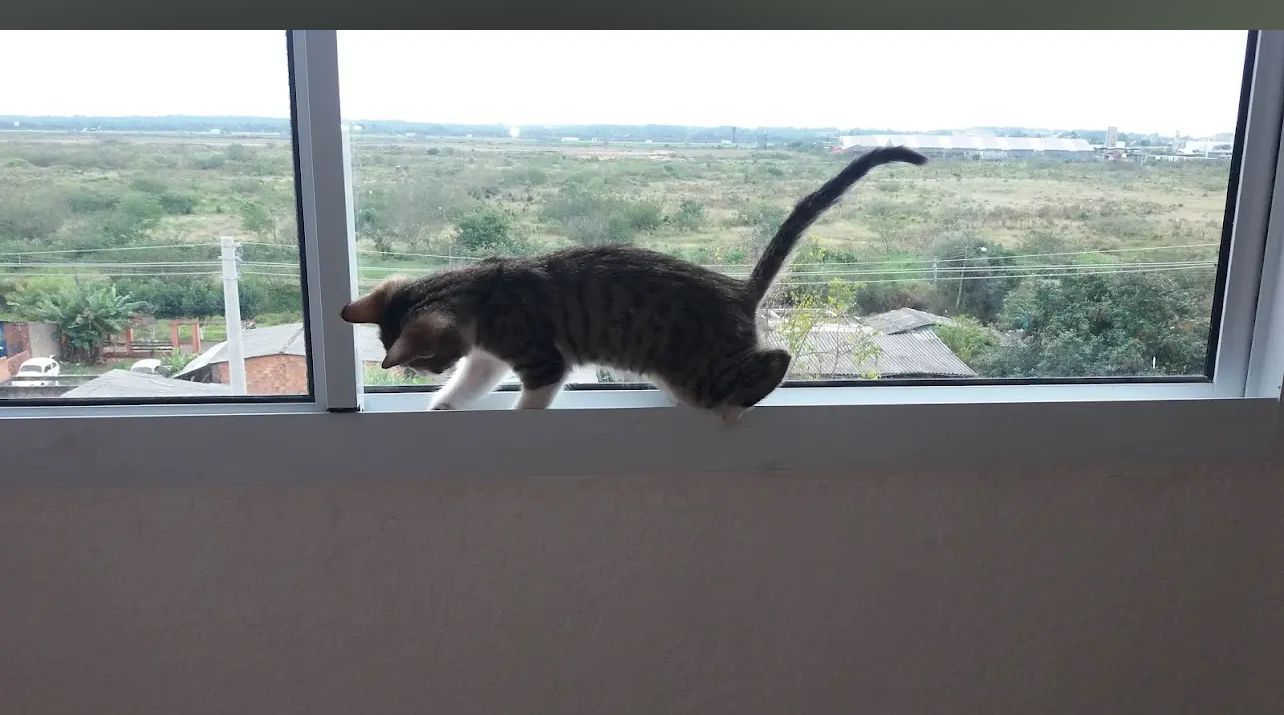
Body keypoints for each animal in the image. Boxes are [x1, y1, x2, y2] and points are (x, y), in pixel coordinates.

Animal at [341, 146, 927, 422]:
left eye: (423, 361)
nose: (433, 371)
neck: (484, 290)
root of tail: (737, 291)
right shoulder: (487, 356)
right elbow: (472, 382)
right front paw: (442, 404)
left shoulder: (540, 357)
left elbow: (534, 395)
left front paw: (515, 413)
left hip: (700, 372)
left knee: (774, 359)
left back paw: (735, 406)